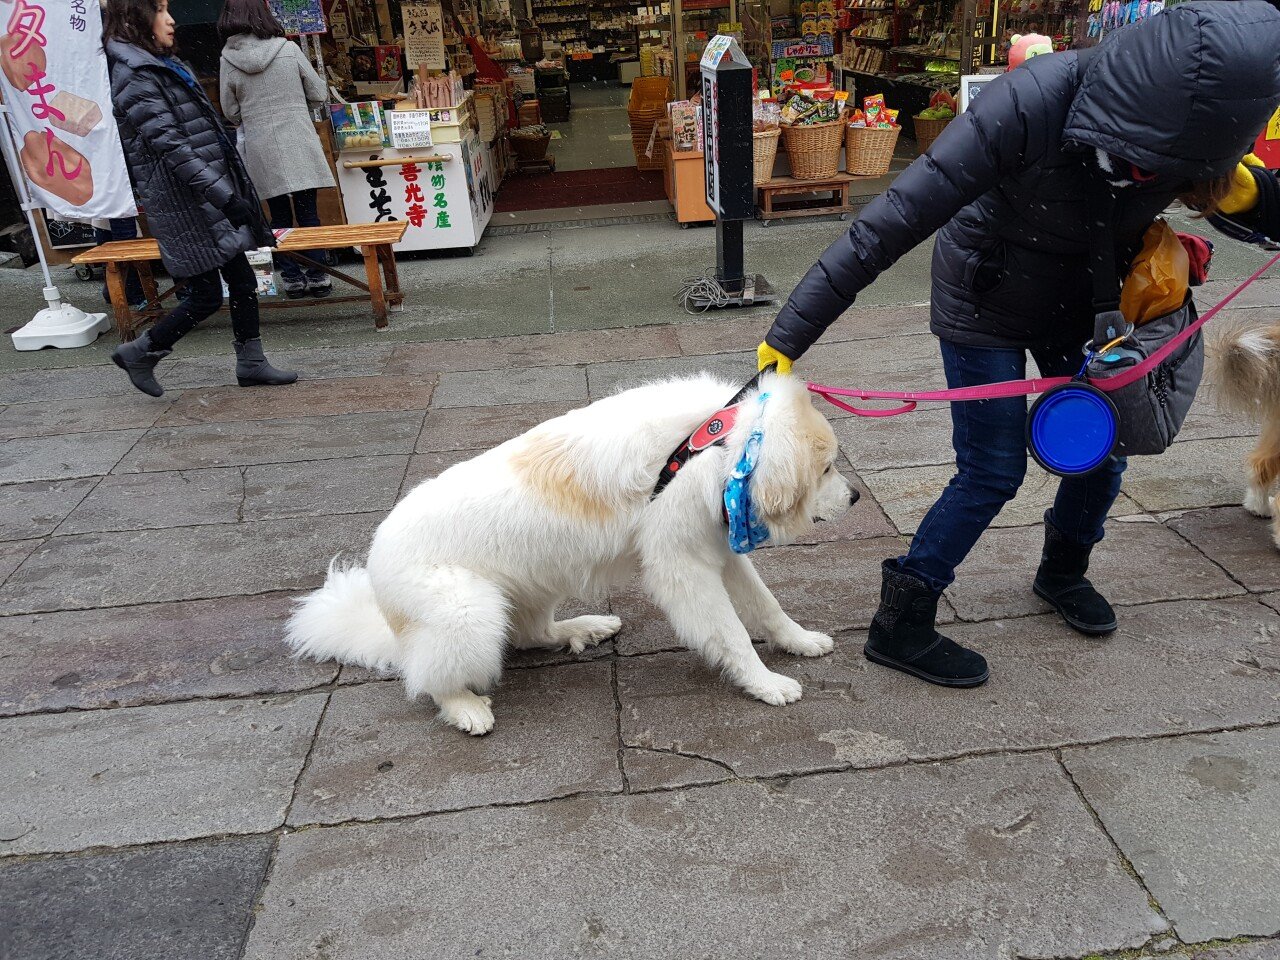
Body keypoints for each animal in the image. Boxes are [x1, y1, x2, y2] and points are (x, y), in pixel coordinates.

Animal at [285, 371, 855, 732]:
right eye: (826, 468)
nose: (854, 498)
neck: (712, 446)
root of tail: (378, 575)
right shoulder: (685, 568)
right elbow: (733, 634)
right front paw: (766, 683)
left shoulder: (720, 550)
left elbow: (767, 607)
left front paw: (800, 642)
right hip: (470, 610)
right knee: (427, 678)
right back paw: (466, 709)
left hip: (533, 588)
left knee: (531, 634)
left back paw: (584, 628)